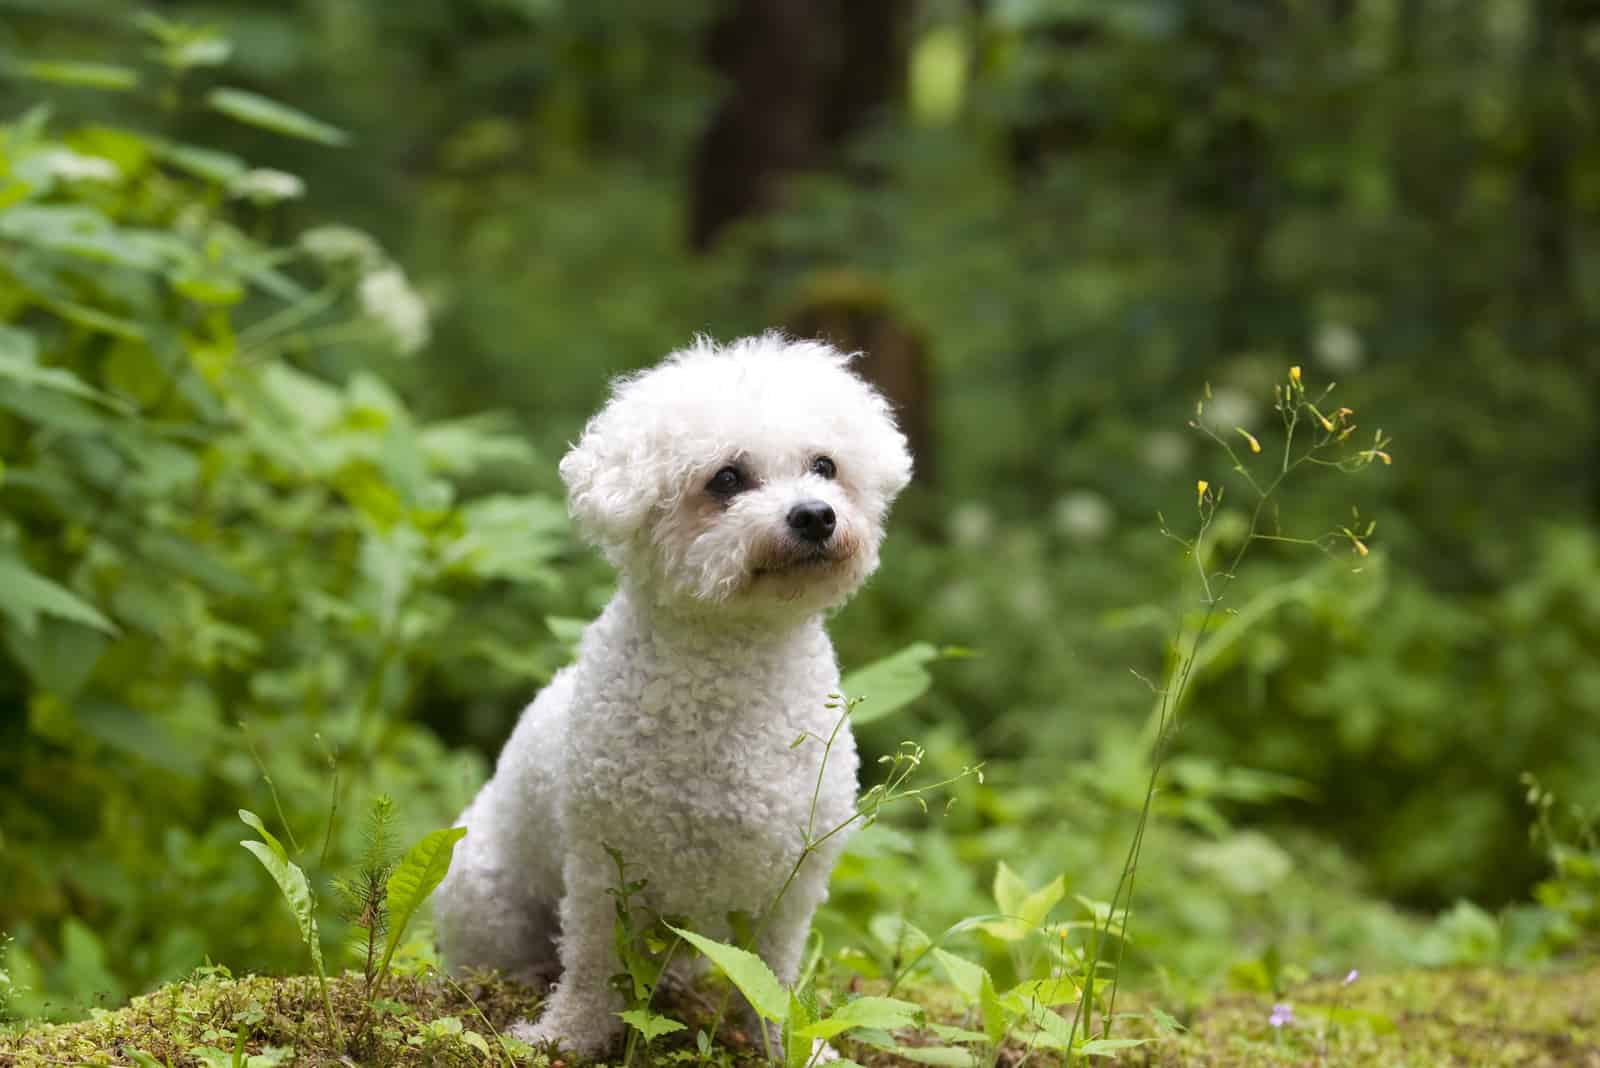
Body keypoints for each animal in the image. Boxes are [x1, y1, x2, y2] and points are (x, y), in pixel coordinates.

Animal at [435, 330, 915, 1048]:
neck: (733, 666)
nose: (815, 516)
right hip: (483, 890)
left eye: (825, 466)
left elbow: (771, 979)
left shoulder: (792, 885)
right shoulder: (603, 868)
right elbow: (593, 962)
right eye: (727, 479)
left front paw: (791, 1048)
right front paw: (566, 1036)